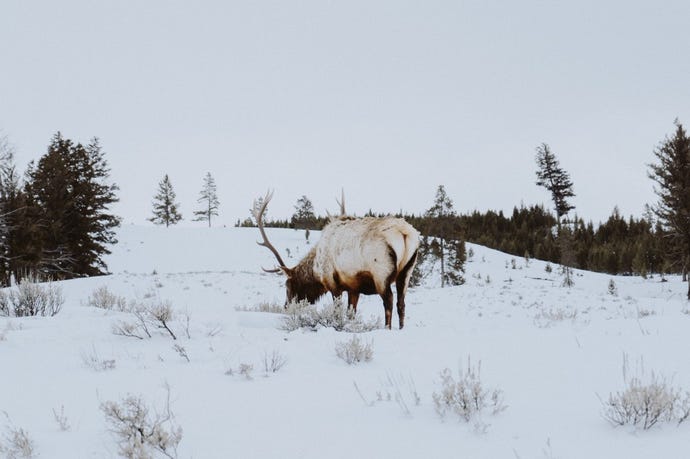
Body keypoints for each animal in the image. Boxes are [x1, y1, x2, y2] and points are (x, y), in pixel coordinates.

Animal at [254, 191, 420, 330]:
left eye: (288, 286)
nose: (286, 307)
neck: (316, 269)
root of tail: (404, 233)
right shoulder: (354, 288)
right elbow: (351, 313)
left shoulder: (333, 283)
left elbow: (337, 311)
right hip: (407, 271)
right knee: (401, 303)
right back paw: (401, 328)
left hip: (381, 272)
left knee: (389, 301)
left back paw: (387, 329)